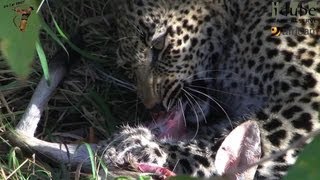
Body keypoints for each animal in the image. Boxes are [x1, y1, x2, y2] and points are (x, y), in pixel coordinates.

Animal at [97, 0, 320, 179]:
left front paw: (147, 148)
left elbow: (232, 141)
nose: (154, 107)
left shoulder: (307, 93)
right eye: (127, 67)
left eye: (158, 44)